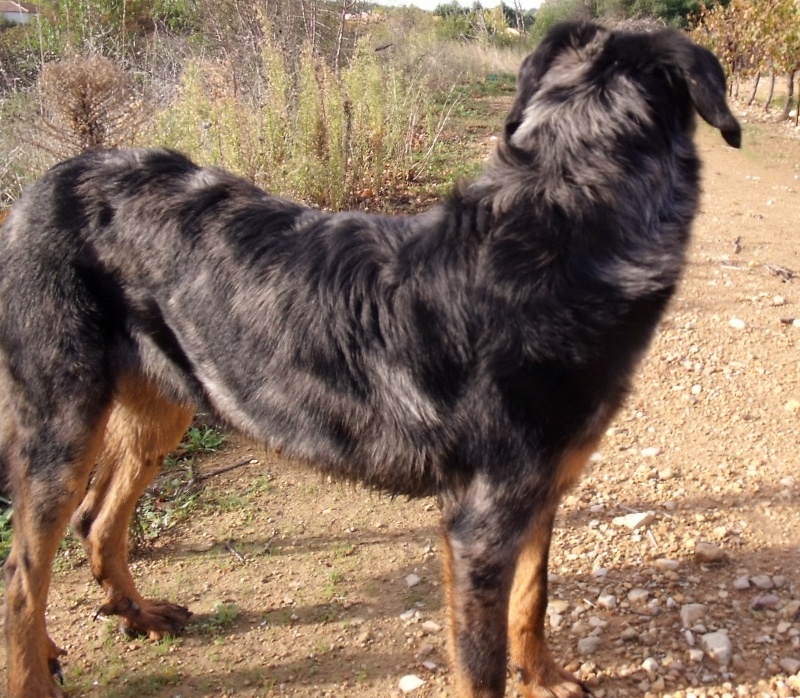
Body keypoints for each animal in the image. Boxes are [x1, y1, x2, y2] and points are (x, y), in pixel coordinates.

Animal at [0, 20, 736, 696]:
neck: (563, 221)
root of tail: (43, 185)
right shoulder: (478, 528)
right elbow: (482, 665)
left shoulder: (540, 494)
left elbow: (535, 597)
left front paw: (545, 677)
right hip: (62, 427)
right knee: (21, 577)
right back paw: (36, 669)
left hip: (165, 404)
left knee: (98, 523)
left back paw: (136, 613)